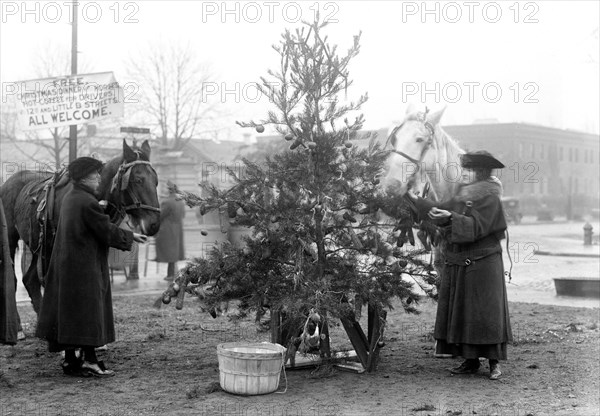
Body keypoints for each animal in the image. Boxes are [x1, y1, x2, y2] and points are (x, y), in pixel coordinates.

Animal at [0, 138, 162, 314]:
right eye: (138, 180)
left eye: (156, 181)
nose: (154, 224)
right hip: (12, 240)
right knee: (12, 280)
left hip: (38, 245)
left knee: (30, 280)